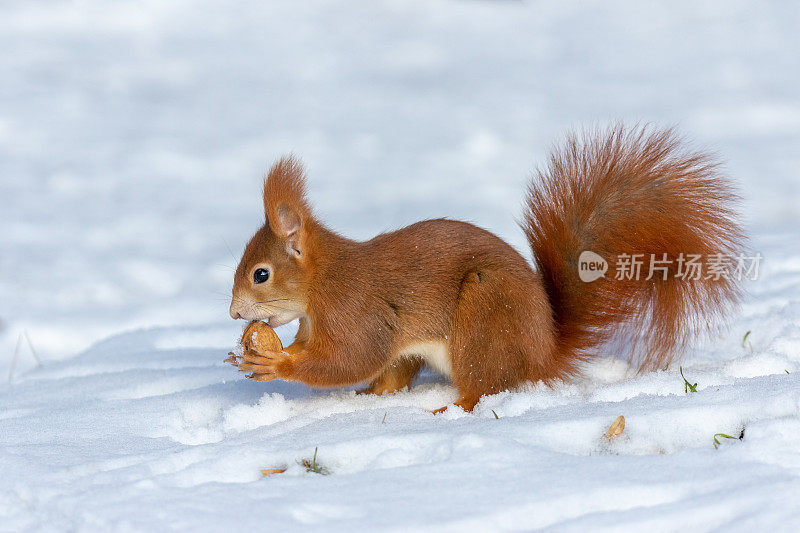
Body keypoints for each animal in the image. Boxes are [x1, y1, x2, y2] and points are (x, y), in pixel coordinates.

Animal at [227, 124, 744, 412]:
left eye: (260, 274)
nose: (233, 314)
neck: (319, 285)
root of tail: (543, 352)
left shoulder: (356, 309)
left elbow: (351, 356)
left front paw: (276, 361)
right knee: (397, 375)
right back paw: (371, 398)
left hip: (484, 312)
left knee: (484, 388)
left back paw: (448, 410)